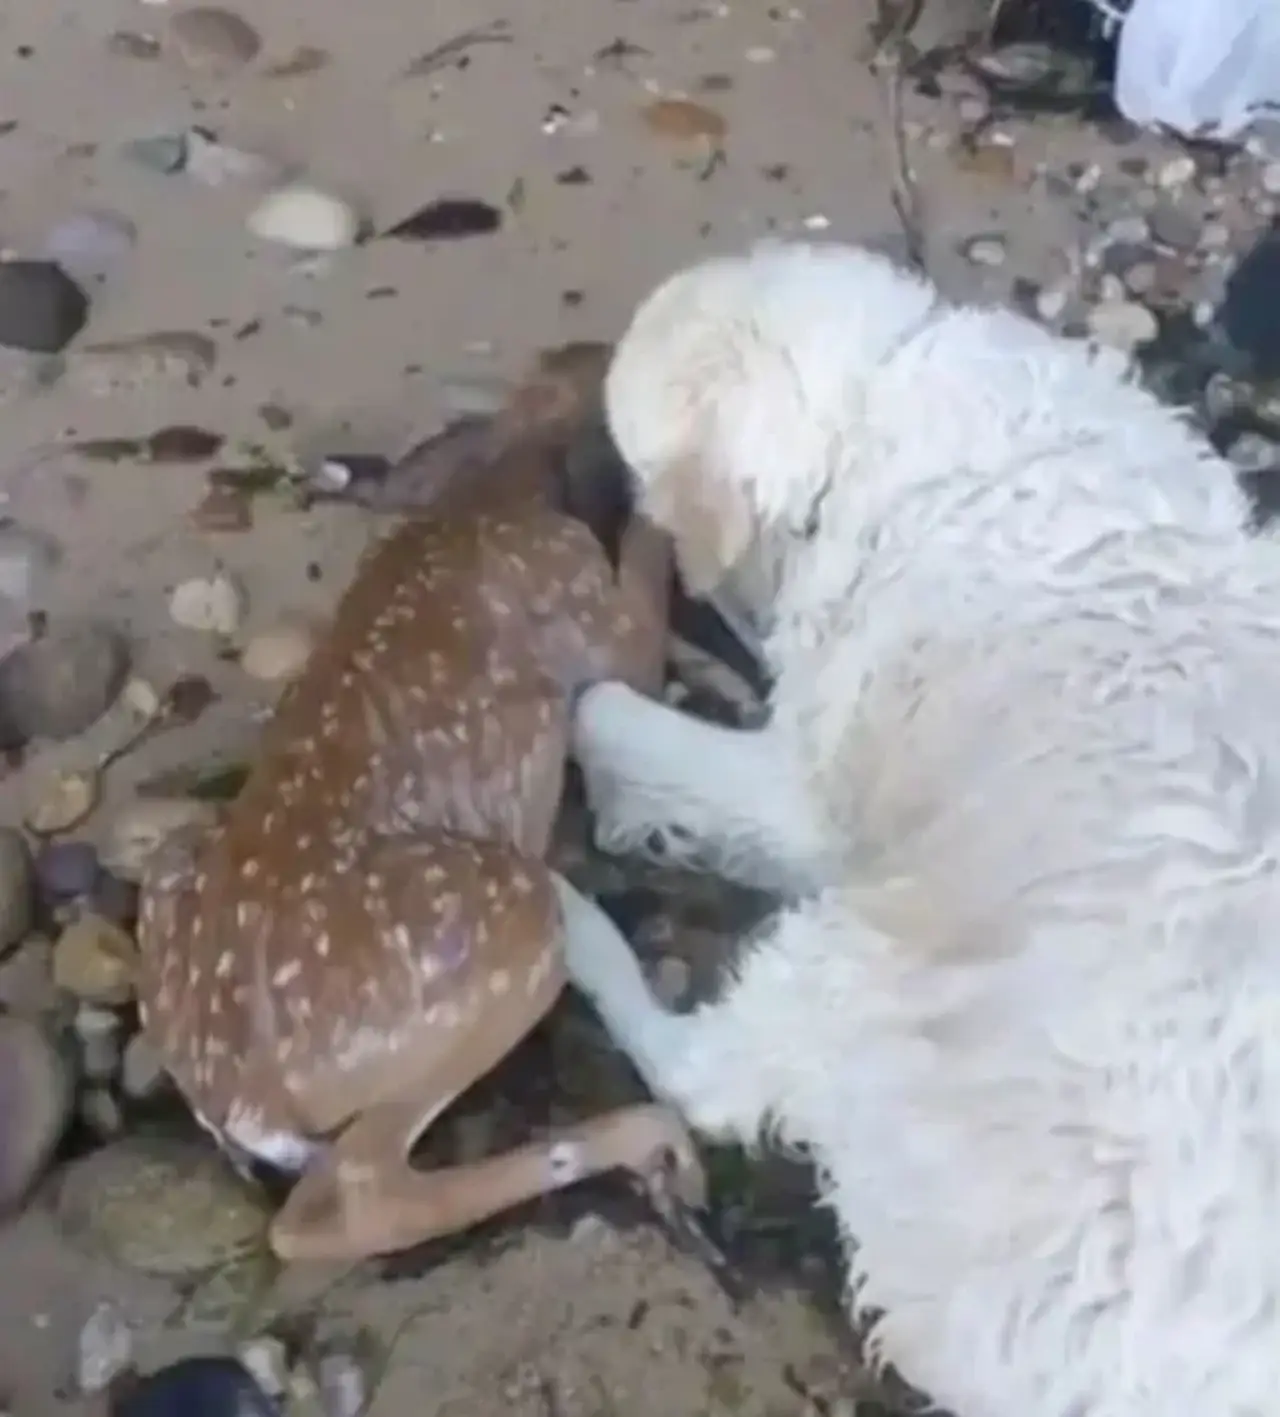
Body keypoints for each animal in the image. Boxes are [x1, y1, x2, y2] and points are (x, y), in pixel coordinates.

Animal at [561, 240, 1280, 1417]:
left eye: (636, 470)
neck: (878, 389)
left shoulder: (806, 794)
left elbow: (607, 715)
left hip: (865, 962)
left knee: (702, 1081)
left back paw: (568, 921)